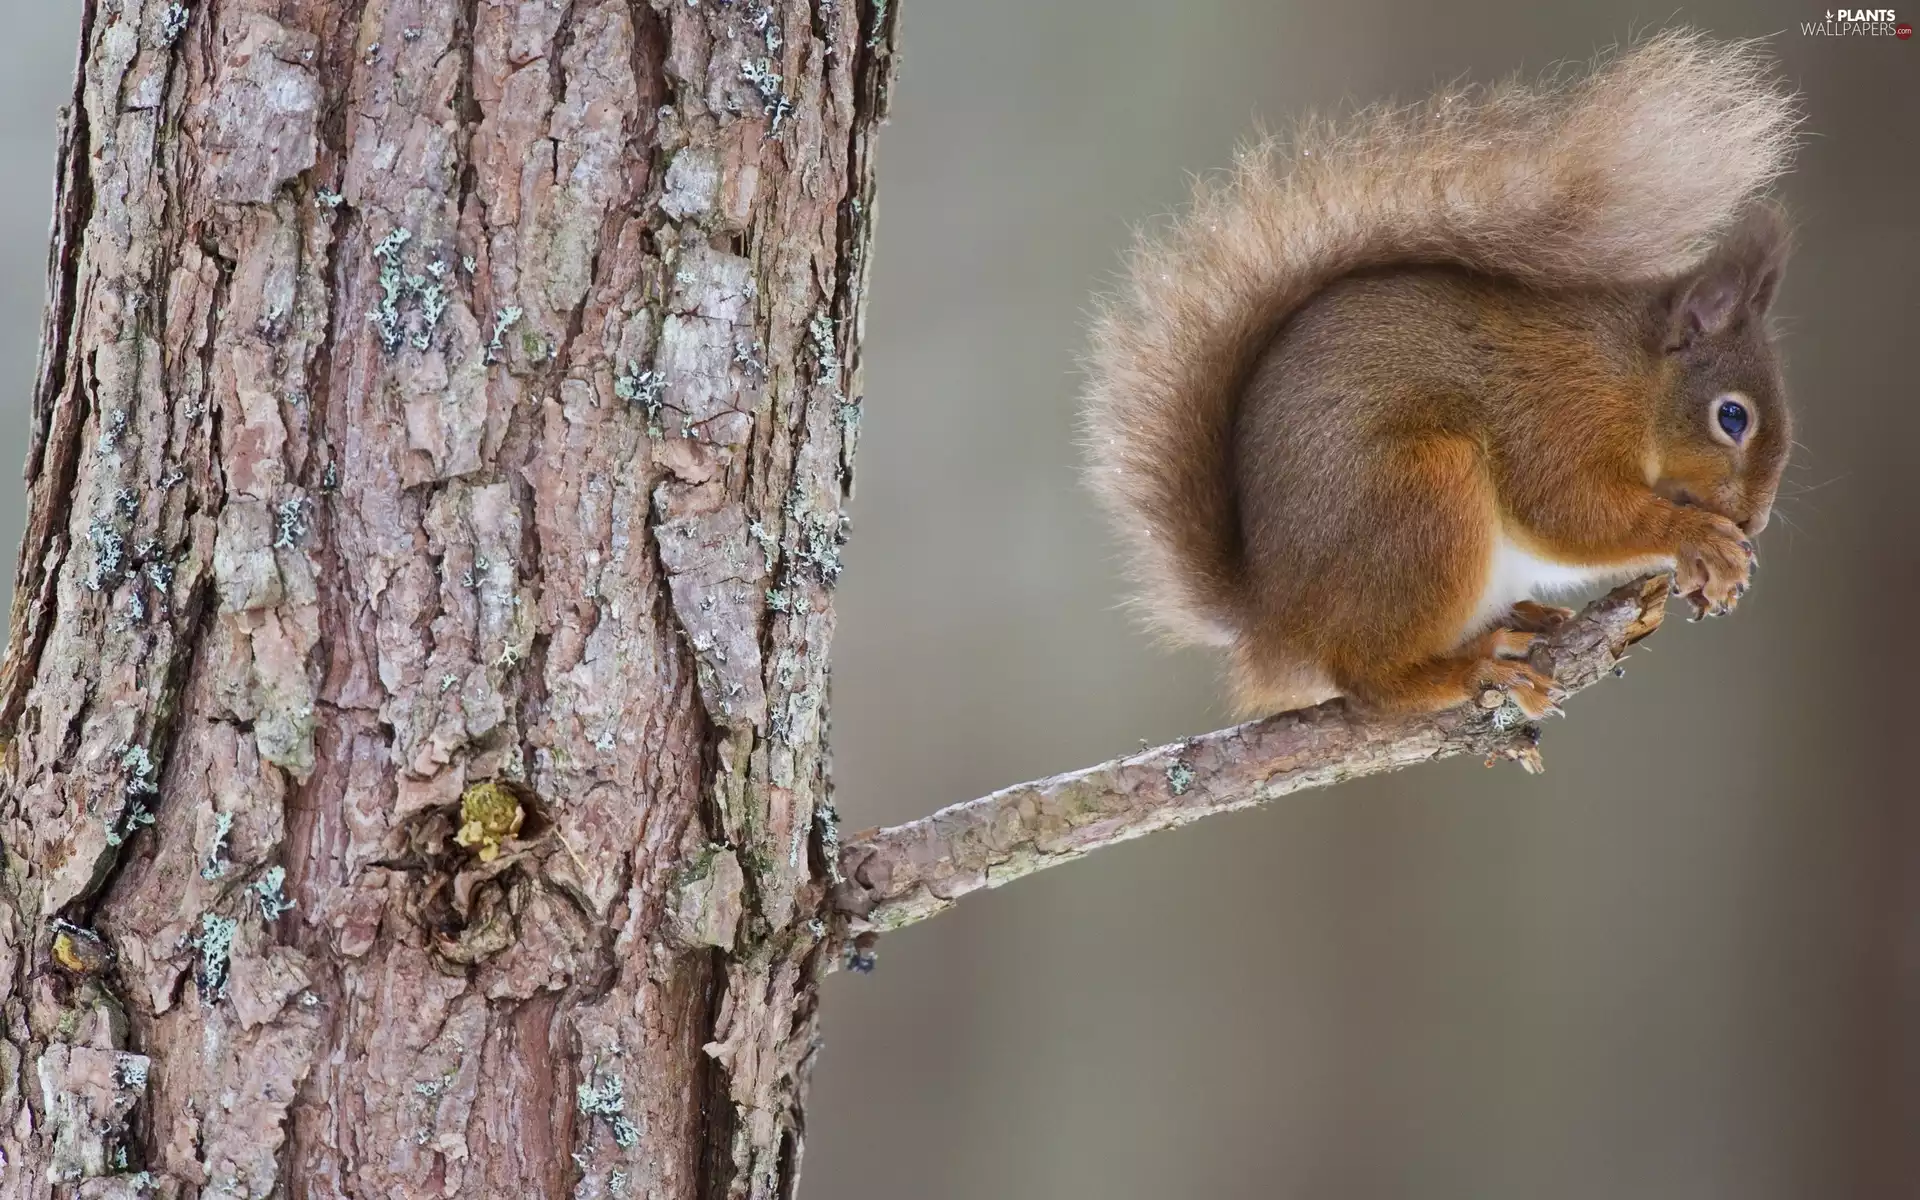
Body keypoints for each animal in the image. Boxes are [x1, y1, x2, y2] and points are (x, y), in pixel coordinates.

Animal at [1082, 32, 1801, 720]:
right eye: (1731, 417)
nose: (1753, 523)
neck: (1632, 377)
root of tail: (1275, 624)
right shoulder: (1559, 415)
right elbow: (1569, 511)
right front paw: (1696, 538)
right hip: (1423, 498)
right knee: (1369, 683)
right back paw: (1469, 670)